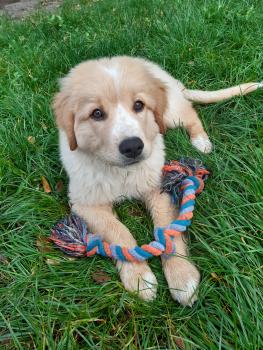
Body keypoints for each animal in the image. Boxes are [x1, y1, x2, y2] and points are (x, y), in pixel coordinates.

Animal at [53, 56, 262, 304]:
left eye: (139, 105)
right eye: (96, 113)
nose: (133, 146)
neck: (122, 172)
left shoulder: (159, 187)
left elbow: (167, 229)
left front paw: (182, 277)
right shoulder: (86, 204)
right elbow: (118, 231)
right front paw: (139, 278)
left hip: (170, 115)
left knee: (191, 114)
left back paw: (201, 141)